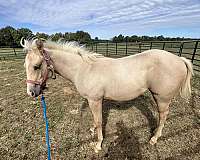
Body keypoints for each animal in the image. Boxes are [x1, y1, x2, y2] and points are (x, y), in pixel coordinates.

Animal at [21, 38, 193, 152]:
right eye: (26, 65)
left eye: (37, 66)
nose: (31, 92)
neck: (83, 68)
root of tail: (179, 59)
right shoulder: (94, 101)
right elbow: (95, 119)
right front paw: (92, 131)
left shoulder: (95, 100)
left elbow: (99, 121)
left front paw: (98, 145)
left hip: (162, 98)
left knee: (163, 116)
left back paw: (154, 138)